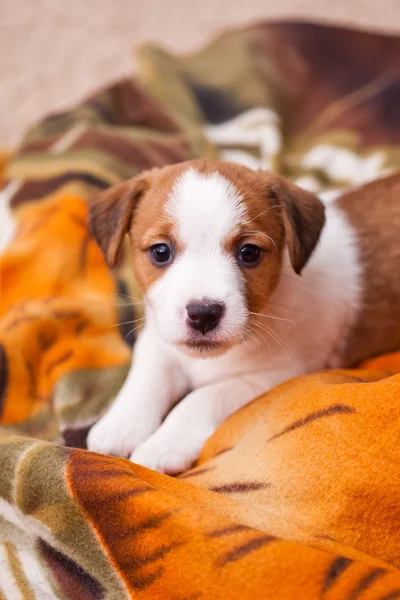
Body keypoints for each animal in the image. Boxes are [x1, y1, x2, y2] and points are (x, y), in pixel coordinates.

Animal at [86, 159, 400, 474]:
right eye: (161, 251)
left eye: (249, 252)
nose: (203, 314)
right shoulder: (158, 338)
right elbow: (147, 377)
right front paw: (121, 425)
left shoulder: (277, 376)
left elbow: (202, 397)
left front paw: (164, 443)